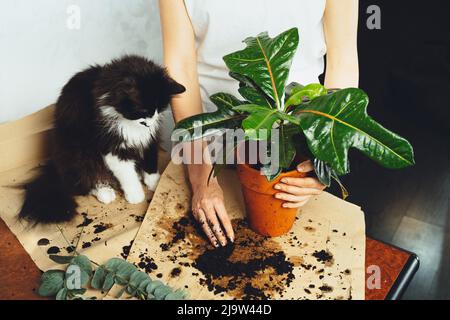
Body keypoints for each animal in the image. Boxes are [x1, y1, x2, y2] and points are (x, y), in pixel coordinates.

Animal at [19, 55, 185, 224]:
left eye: (160, 108)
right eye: (143, 110)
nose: (150, 122)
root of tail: (55, 166)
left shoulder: (149, 139)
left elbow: (150, 161)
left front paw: (154, 182)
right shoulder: (111, 147)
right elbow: (126, 173)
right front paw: (135, 195)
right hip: (78, 152)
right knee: (85, 180)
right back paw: (105, 192)